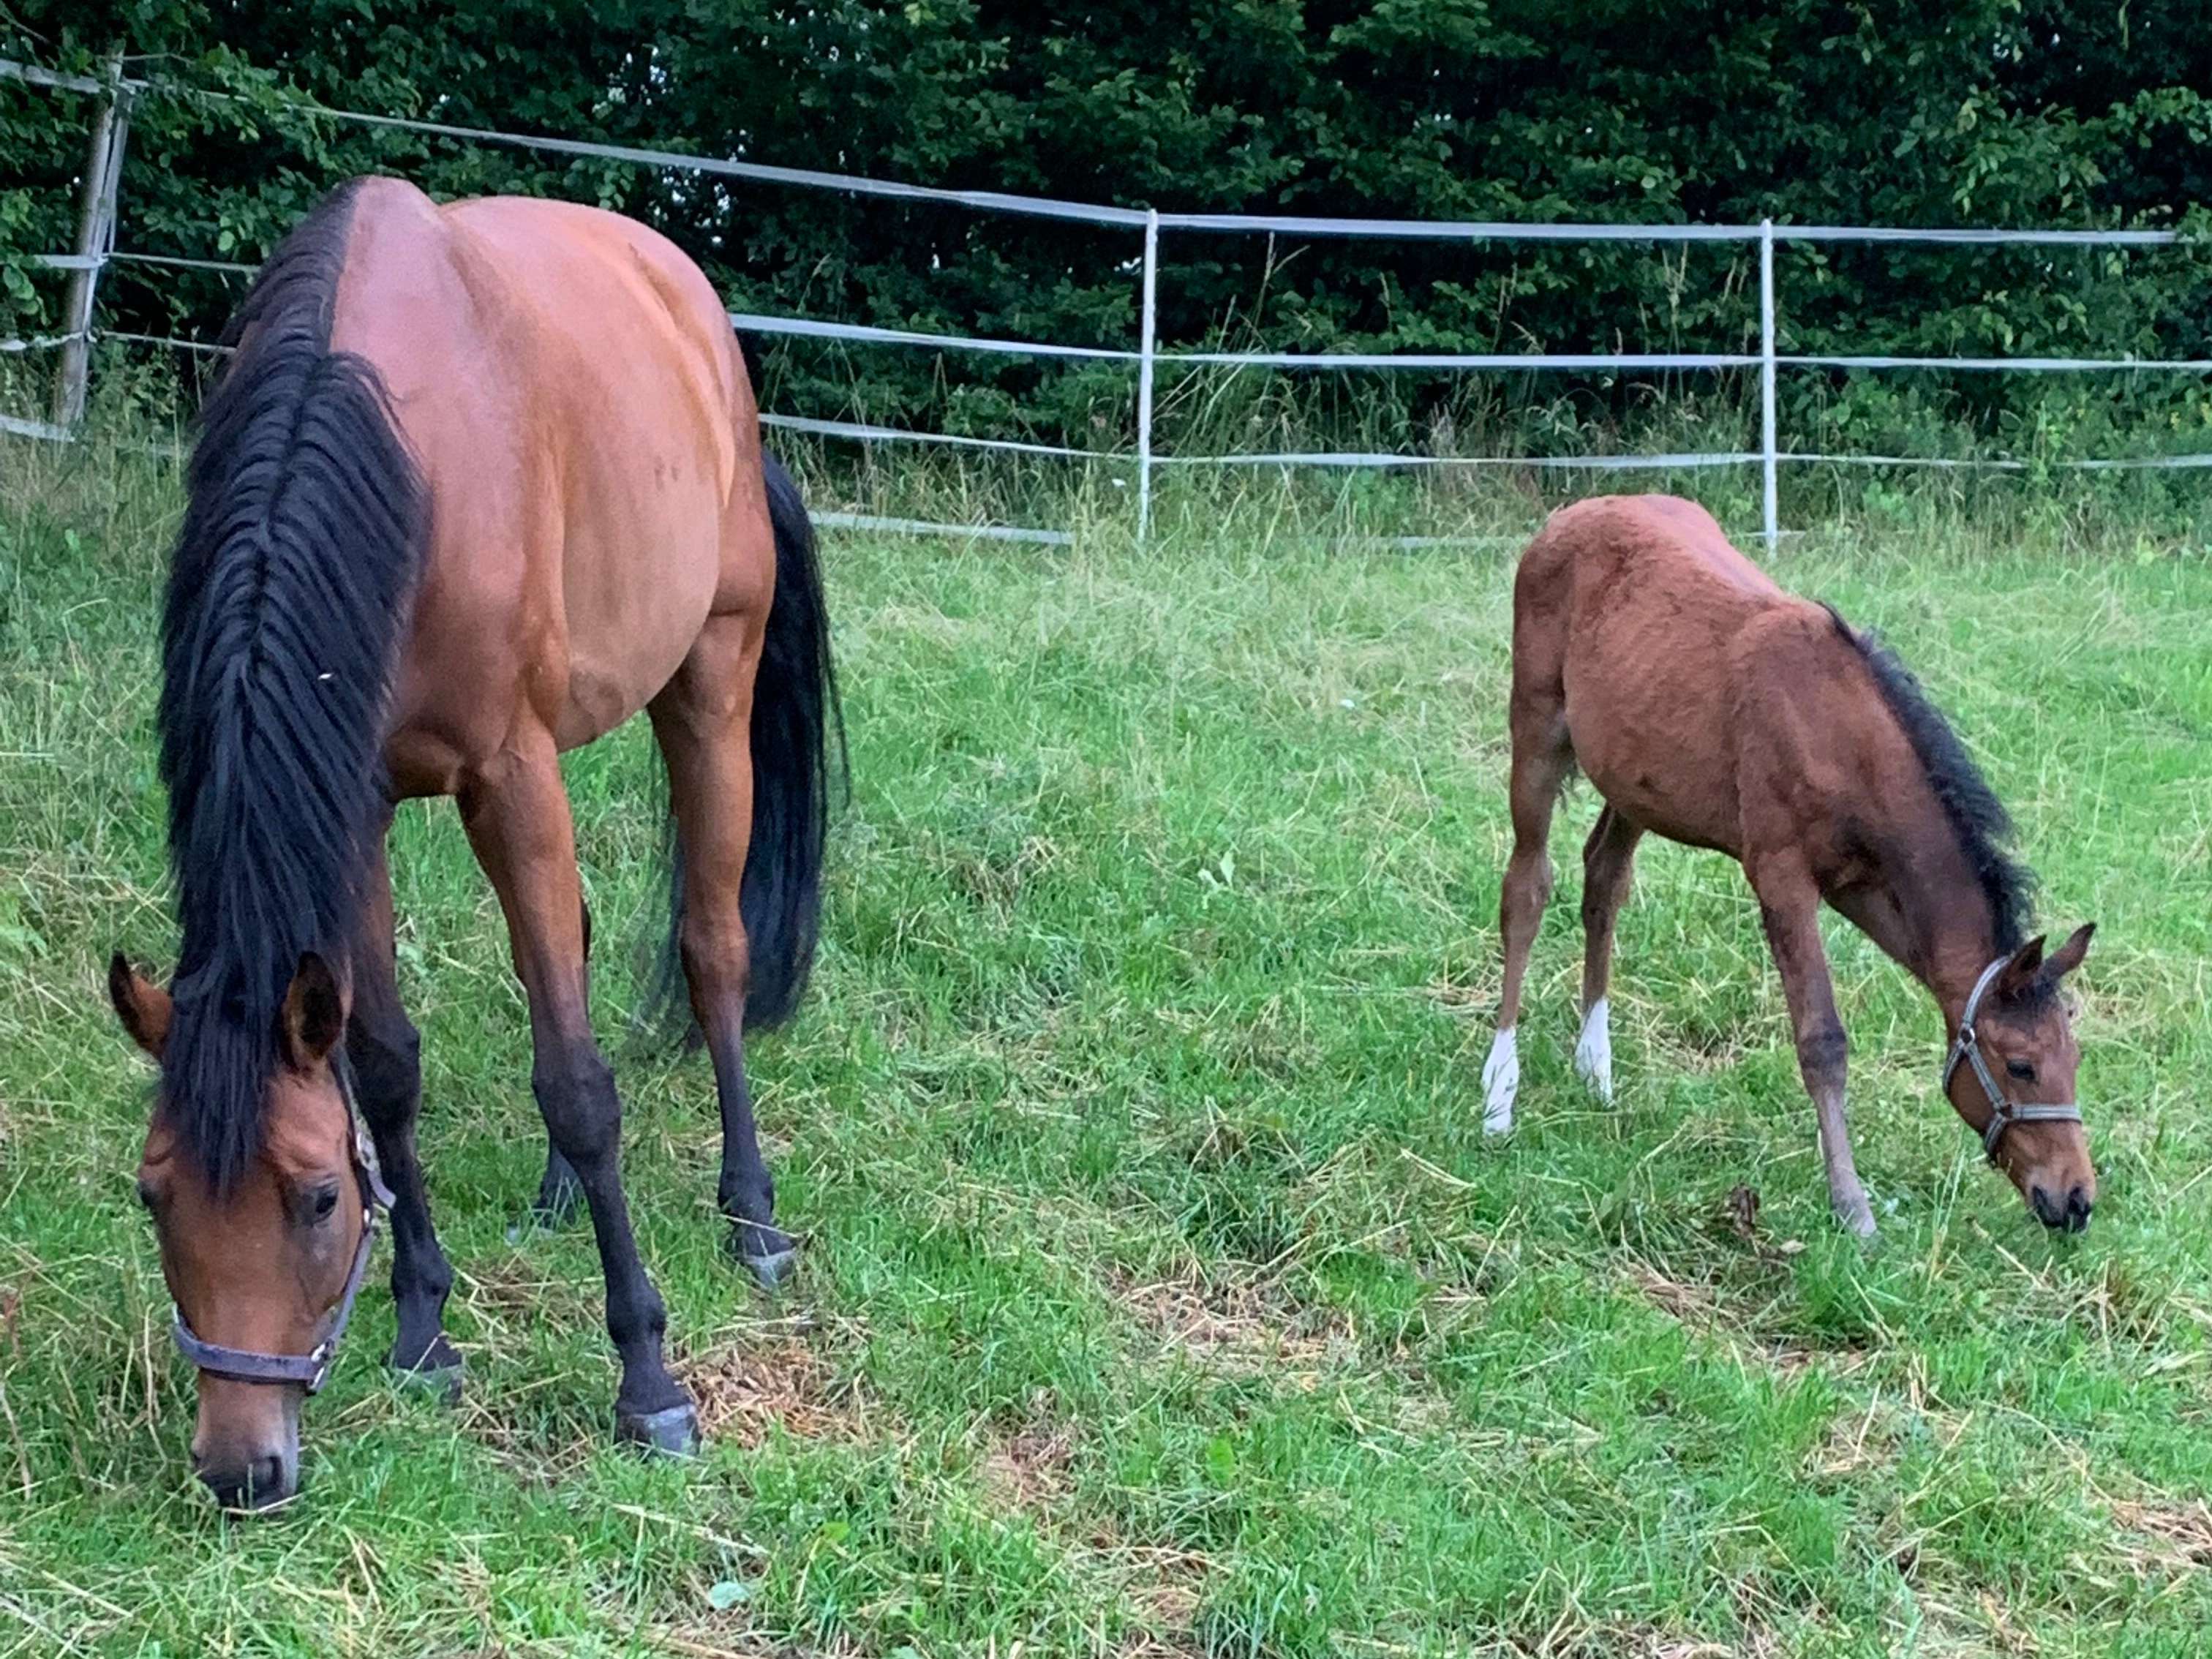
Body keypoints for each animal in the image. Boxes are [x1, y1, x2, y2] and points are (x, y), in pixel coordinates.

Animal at [104, 176, 840, 1509]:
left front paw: (646, 1378)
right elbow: (389, 1063)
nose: (245, 1468)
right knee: (577, 948)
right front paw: (422, 1329)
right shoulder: (360, 799)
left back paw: (751, 1217)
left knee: (712, 949)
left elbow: (580, 1083)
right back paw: (553, 1200)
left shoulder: (510, 776)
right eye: (153, 1193)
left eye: (316, 1198)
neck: (395, 450)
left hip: (709, 682)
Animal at [1479, 494, 2095, 1237]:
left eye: (2074, 1057)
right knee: (1527, 889)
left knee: (1604, 879)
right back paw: (1498, 1095)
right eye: (2022, 1066)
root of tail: (1568, 516)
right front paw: (1852, 1207)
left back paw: (1595, 1069)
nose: (2076, 1198)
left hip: (1633, 776)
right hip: (1537, 733)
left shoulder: (1864, 888)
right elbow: (1822, 1040)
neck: (1840, 736)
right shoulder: (1781, 877)